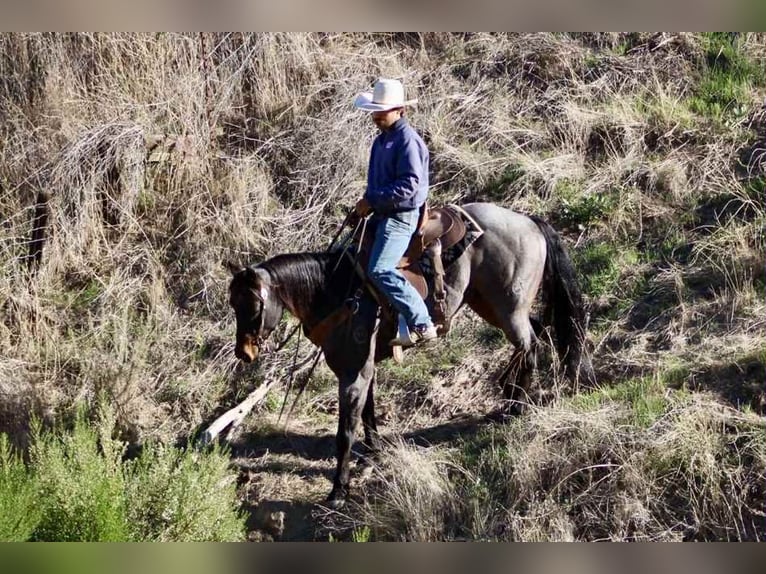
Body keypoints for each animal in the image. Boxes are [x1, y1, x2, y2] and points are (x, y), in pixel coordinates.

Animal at [227, 202, 595, 508]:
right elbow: (368, 413)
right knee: (535, 334)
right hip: (489, 304)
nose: (244, 353)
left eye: (255, 306)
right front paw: (373, 452)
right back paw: (510, 393)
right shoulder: (365, 366)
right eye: (233, 303)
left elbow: (345, 431)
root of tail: (529, 221)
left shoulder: (353, 372)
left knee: (530, 343)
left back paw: (517, 405)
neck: (333, 290)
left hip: (508, 307)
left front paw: (338, 491)